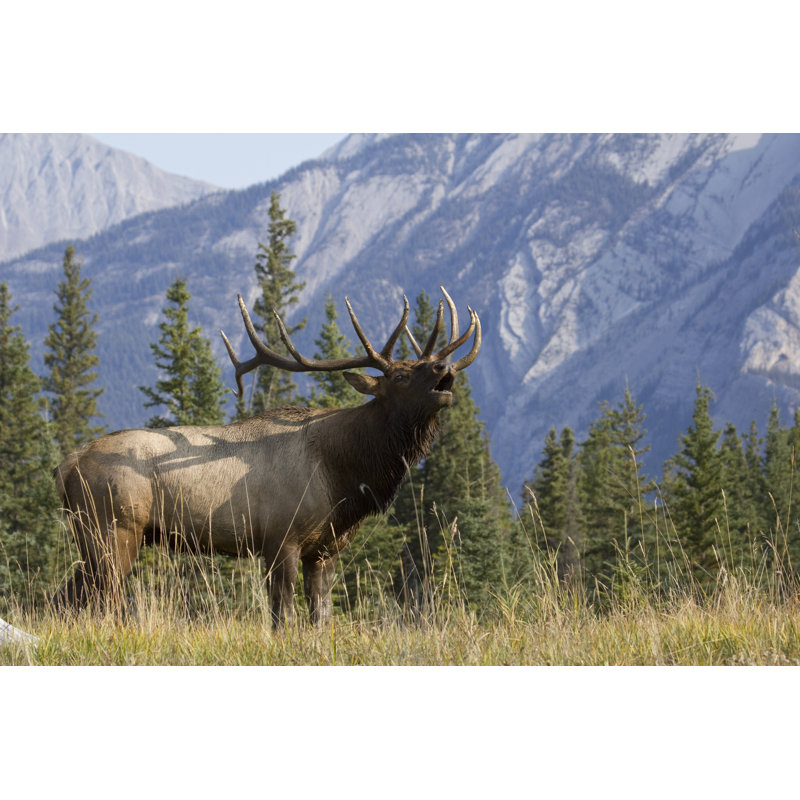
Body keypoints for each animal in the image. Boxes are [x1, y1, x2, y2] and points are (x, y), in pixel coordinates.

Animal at [52, 287, 481, 626]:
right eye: (400, 376)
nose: (444, 366)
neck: (344, 478)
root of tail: (67, 464)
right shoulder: (280, 537)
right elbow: (282, 616)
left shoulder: (324, 549)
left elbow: (320, 617)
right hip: (114, 528)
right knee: (101, 599)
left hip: (91, 535)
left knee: (68, 597)